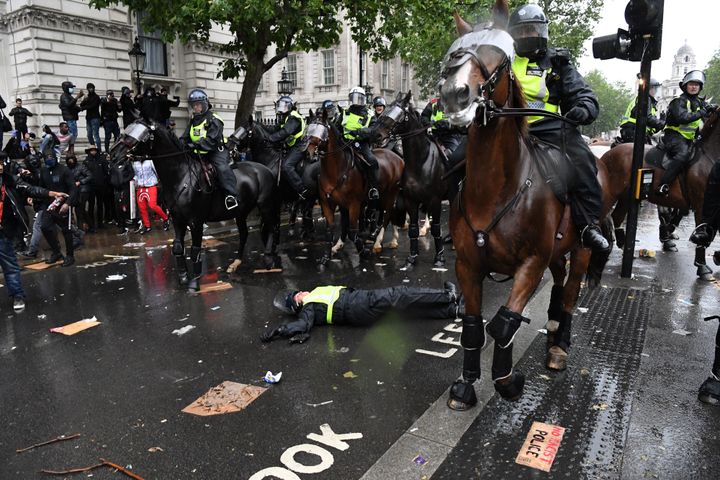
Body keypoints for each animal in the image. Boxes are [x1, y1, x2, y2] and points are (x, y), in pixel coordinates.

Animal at [306, 111, 404, 264]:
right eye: (308, 129)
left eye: (321, 131)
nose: (307, 153)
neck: (336, 169)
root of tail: (397, 157)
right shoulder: (329, 203)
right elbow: (332, 229)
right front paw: (327, 255)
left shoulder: (354, 204)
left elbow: (352, 231)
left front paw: (363, 252)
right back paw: (390, 238)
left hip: (390, 193)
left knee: (387, 215)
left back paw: (378, 242)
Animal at [442, 0, 612, 412]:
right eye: (455, 52)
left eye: (500, 58)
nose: (455, 95)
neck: (496, 191)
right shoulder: (468, 265)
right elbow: (473, 328)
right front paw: (465, 386)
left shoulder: (530, 264)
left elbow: (504, 321)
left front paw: (506, 380)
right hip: (558, 249)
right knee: (560, 282)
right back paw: (550, 323)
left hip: (581, 247)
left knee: (571, 294)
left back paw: (559, 345)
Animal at [600, 112, 720, 280]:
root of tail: (609, 152)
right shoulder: (701, 203)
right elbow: (702, 231)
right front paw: (703, 268)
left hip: (625, 196)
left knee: (616, 217)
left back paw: (624, 246)